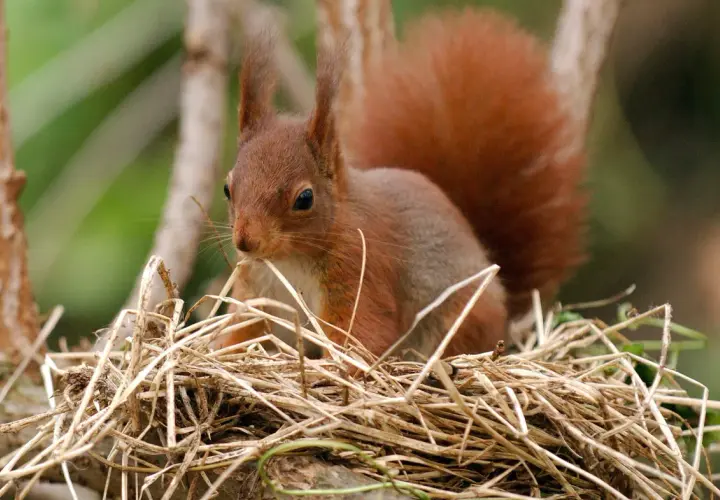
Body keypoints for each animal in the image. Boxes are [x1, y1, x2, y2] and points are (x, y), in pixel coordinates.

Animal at [216, 7, 587, 361]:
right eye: (227, 188)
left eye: (304, 199)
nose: (246, 241)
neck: (289, 260)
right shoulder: (259, 292)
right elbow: (246, 329)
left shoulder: (361, 270)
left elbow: (362, 333)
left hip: (461, 318)